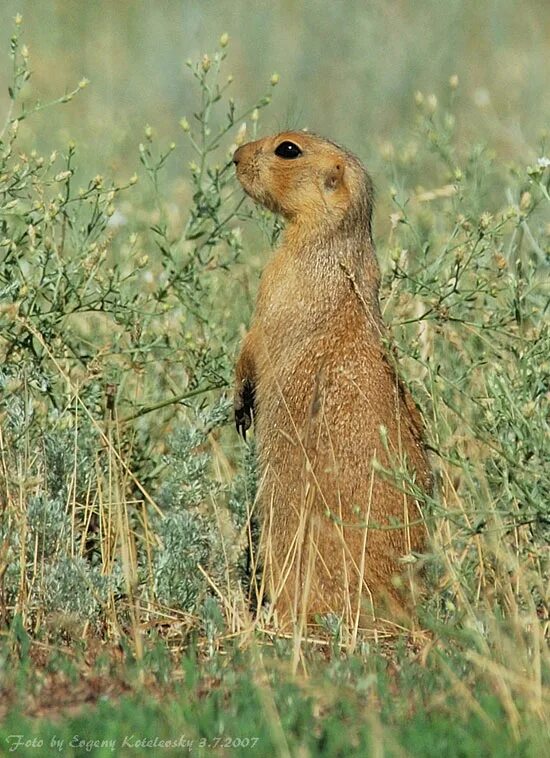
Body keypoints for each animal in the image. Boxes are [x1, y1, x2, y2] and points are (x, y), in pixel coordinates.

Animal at [233, 131, 432, 628]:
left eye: (288, 149)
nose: (235, 156)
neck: (334, 245)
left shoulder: (278, 282)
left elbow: (254, 341)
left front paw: (240, 403)